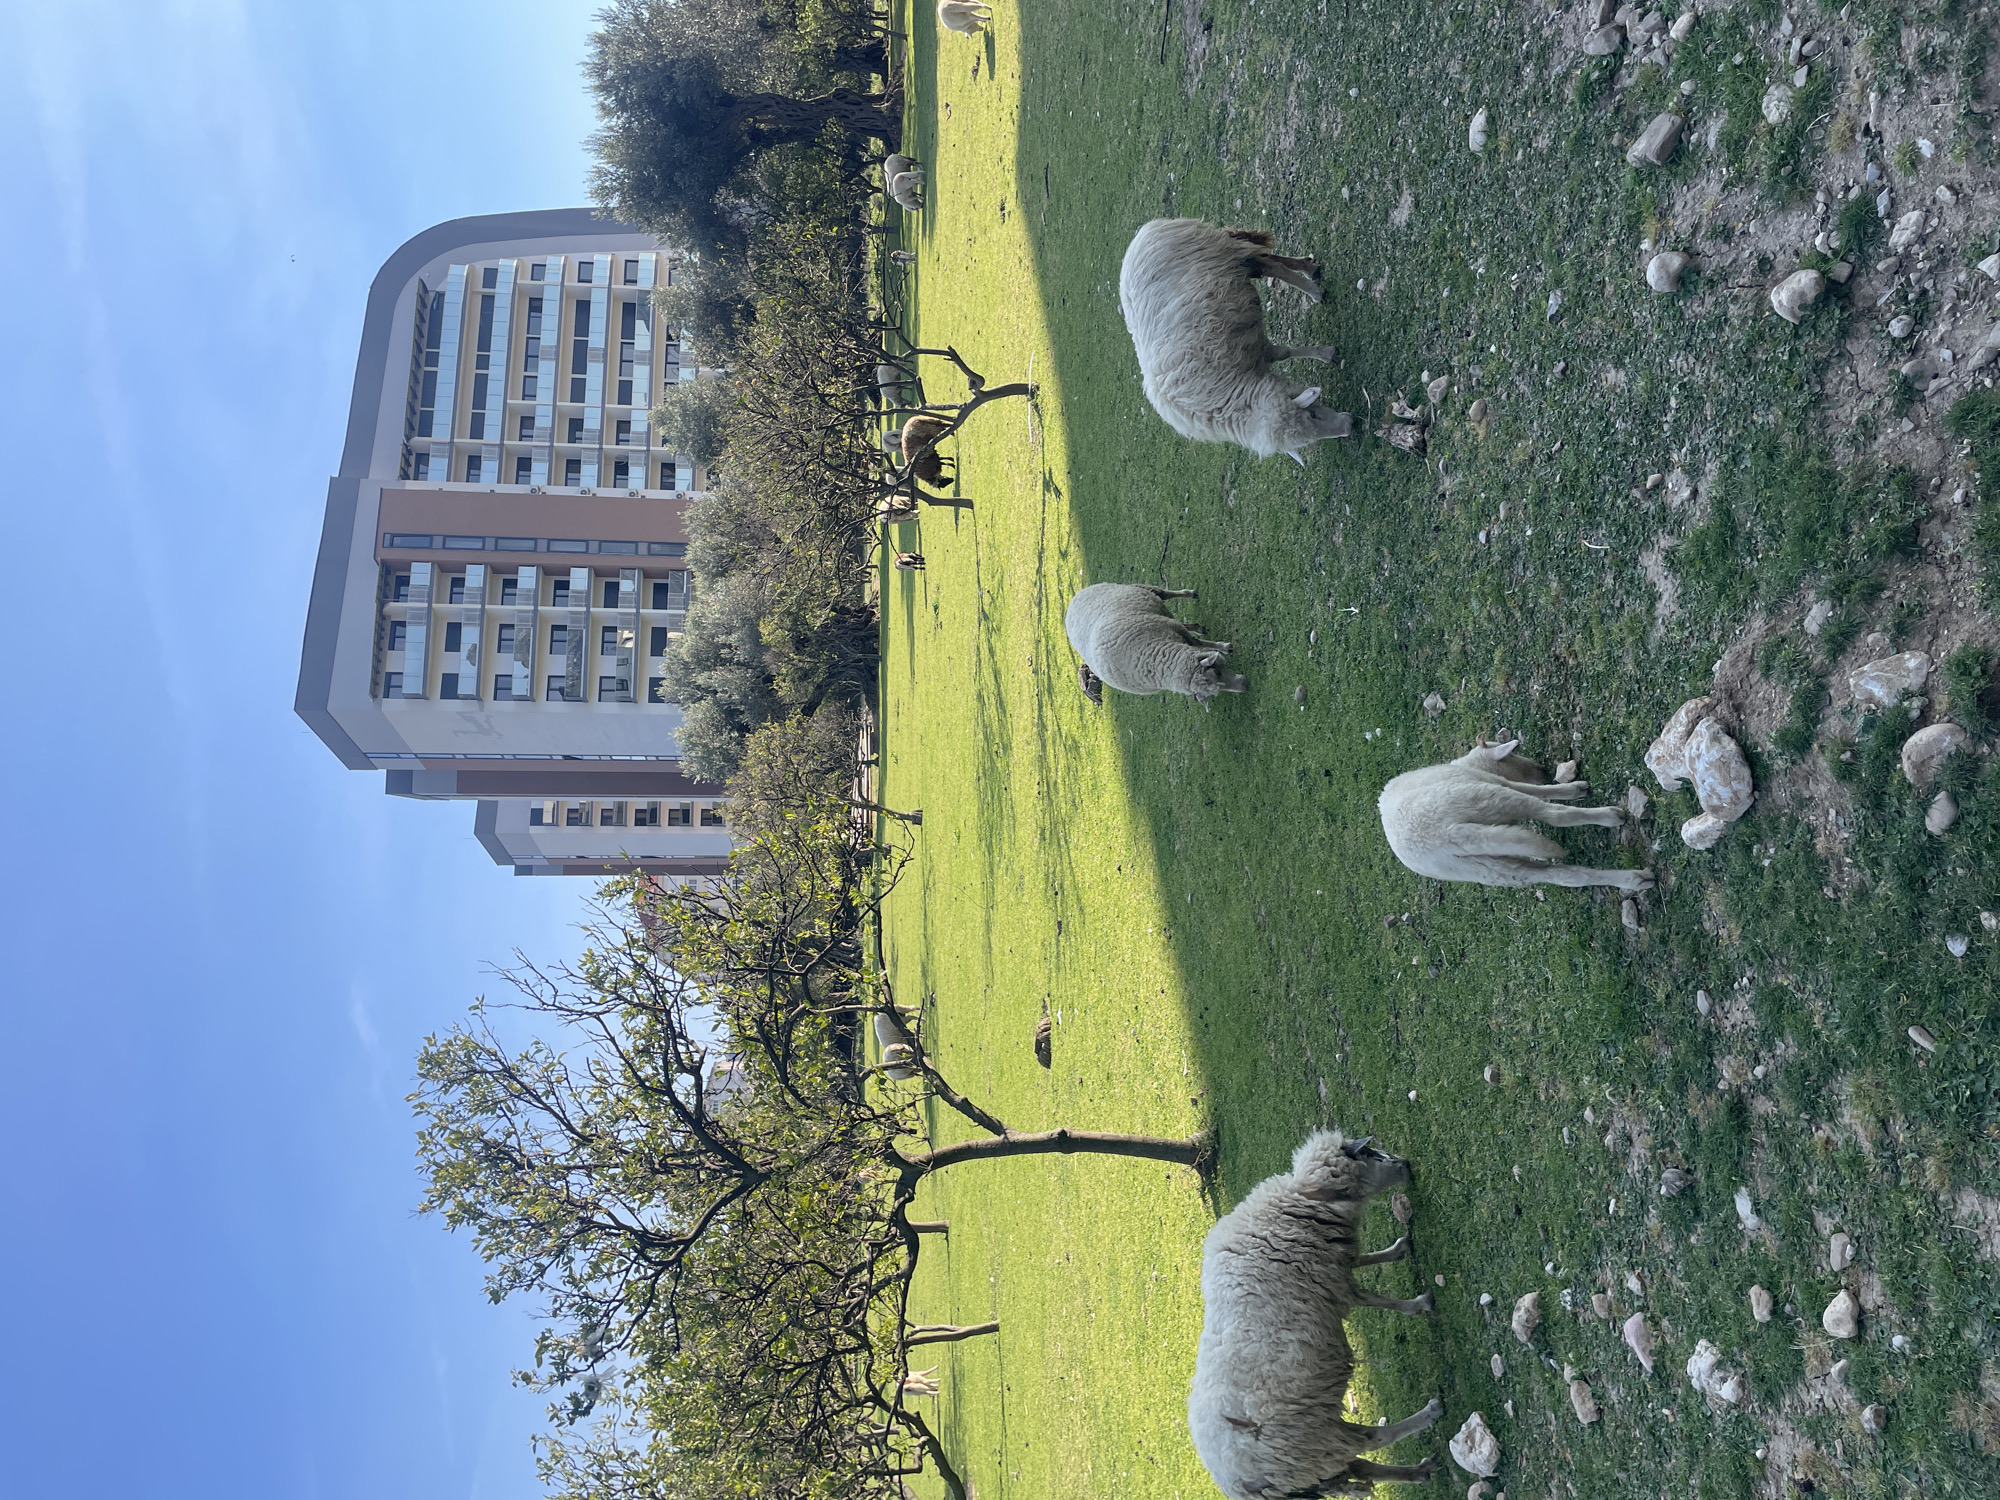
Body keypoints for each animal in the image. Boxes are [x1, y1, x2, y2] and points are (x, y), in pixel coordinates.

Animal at [1064, 582, 1245, 705]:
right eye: (1218, 673)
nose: (1245, 684)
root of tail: (1072, 602)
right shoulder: (1169, 630)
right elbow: (1196, 642)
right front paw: (1220, 648)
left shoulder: (1171, 627)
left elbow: (1195, 641)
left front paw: (1223, 647)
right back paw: (1198, 627)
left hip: (1140, 591)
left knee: (1162, 593)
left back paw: (1189, 594)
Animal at [1118, 218, 1352, 462]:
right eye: (1312, 415)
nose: (1349, 425)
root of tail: (1149, 228)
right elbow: (1281, 353)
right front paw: (1325, 354)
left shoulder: (1246, 345)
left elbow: (1283, 353)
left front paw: (1326, 354)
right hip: (1229, 262)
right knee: (1267, 262)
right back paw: (1310, 270)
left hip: (1224, 255)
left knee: (1269, 265)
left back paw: (1313, 288)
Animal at [1190, 1130, 1443, 1499]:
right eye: (1371, 1154)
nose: (1405, 1165)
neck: (1305, 1195)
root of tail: (1239, 1485)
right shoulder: (1330, 1280)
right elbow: (1374, 1299)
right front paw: (1418, 1304)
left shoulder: (1332, 1263)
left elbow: (1362, 1259)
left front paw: (1399, 1249)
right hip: (1310, 1438)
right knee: (1372, 1439)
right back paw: (1429, 1414)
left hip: (1315, 1466)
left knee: (1360, 1465)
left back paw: (1419, 1472)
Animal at [1377, 739, 1655, 892]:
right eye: (1511, 753)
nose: (1542, 769)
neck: (1467, 765)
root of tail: (1440, 838)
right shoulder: (1496, 782)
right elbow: (1539, 792)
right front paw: (1574, 789)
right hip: (1490, 798)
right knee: (1553, 814)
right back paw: (1611, 817)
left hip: (1488, 870)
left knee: (1563, 876)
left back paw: (1635, 880)